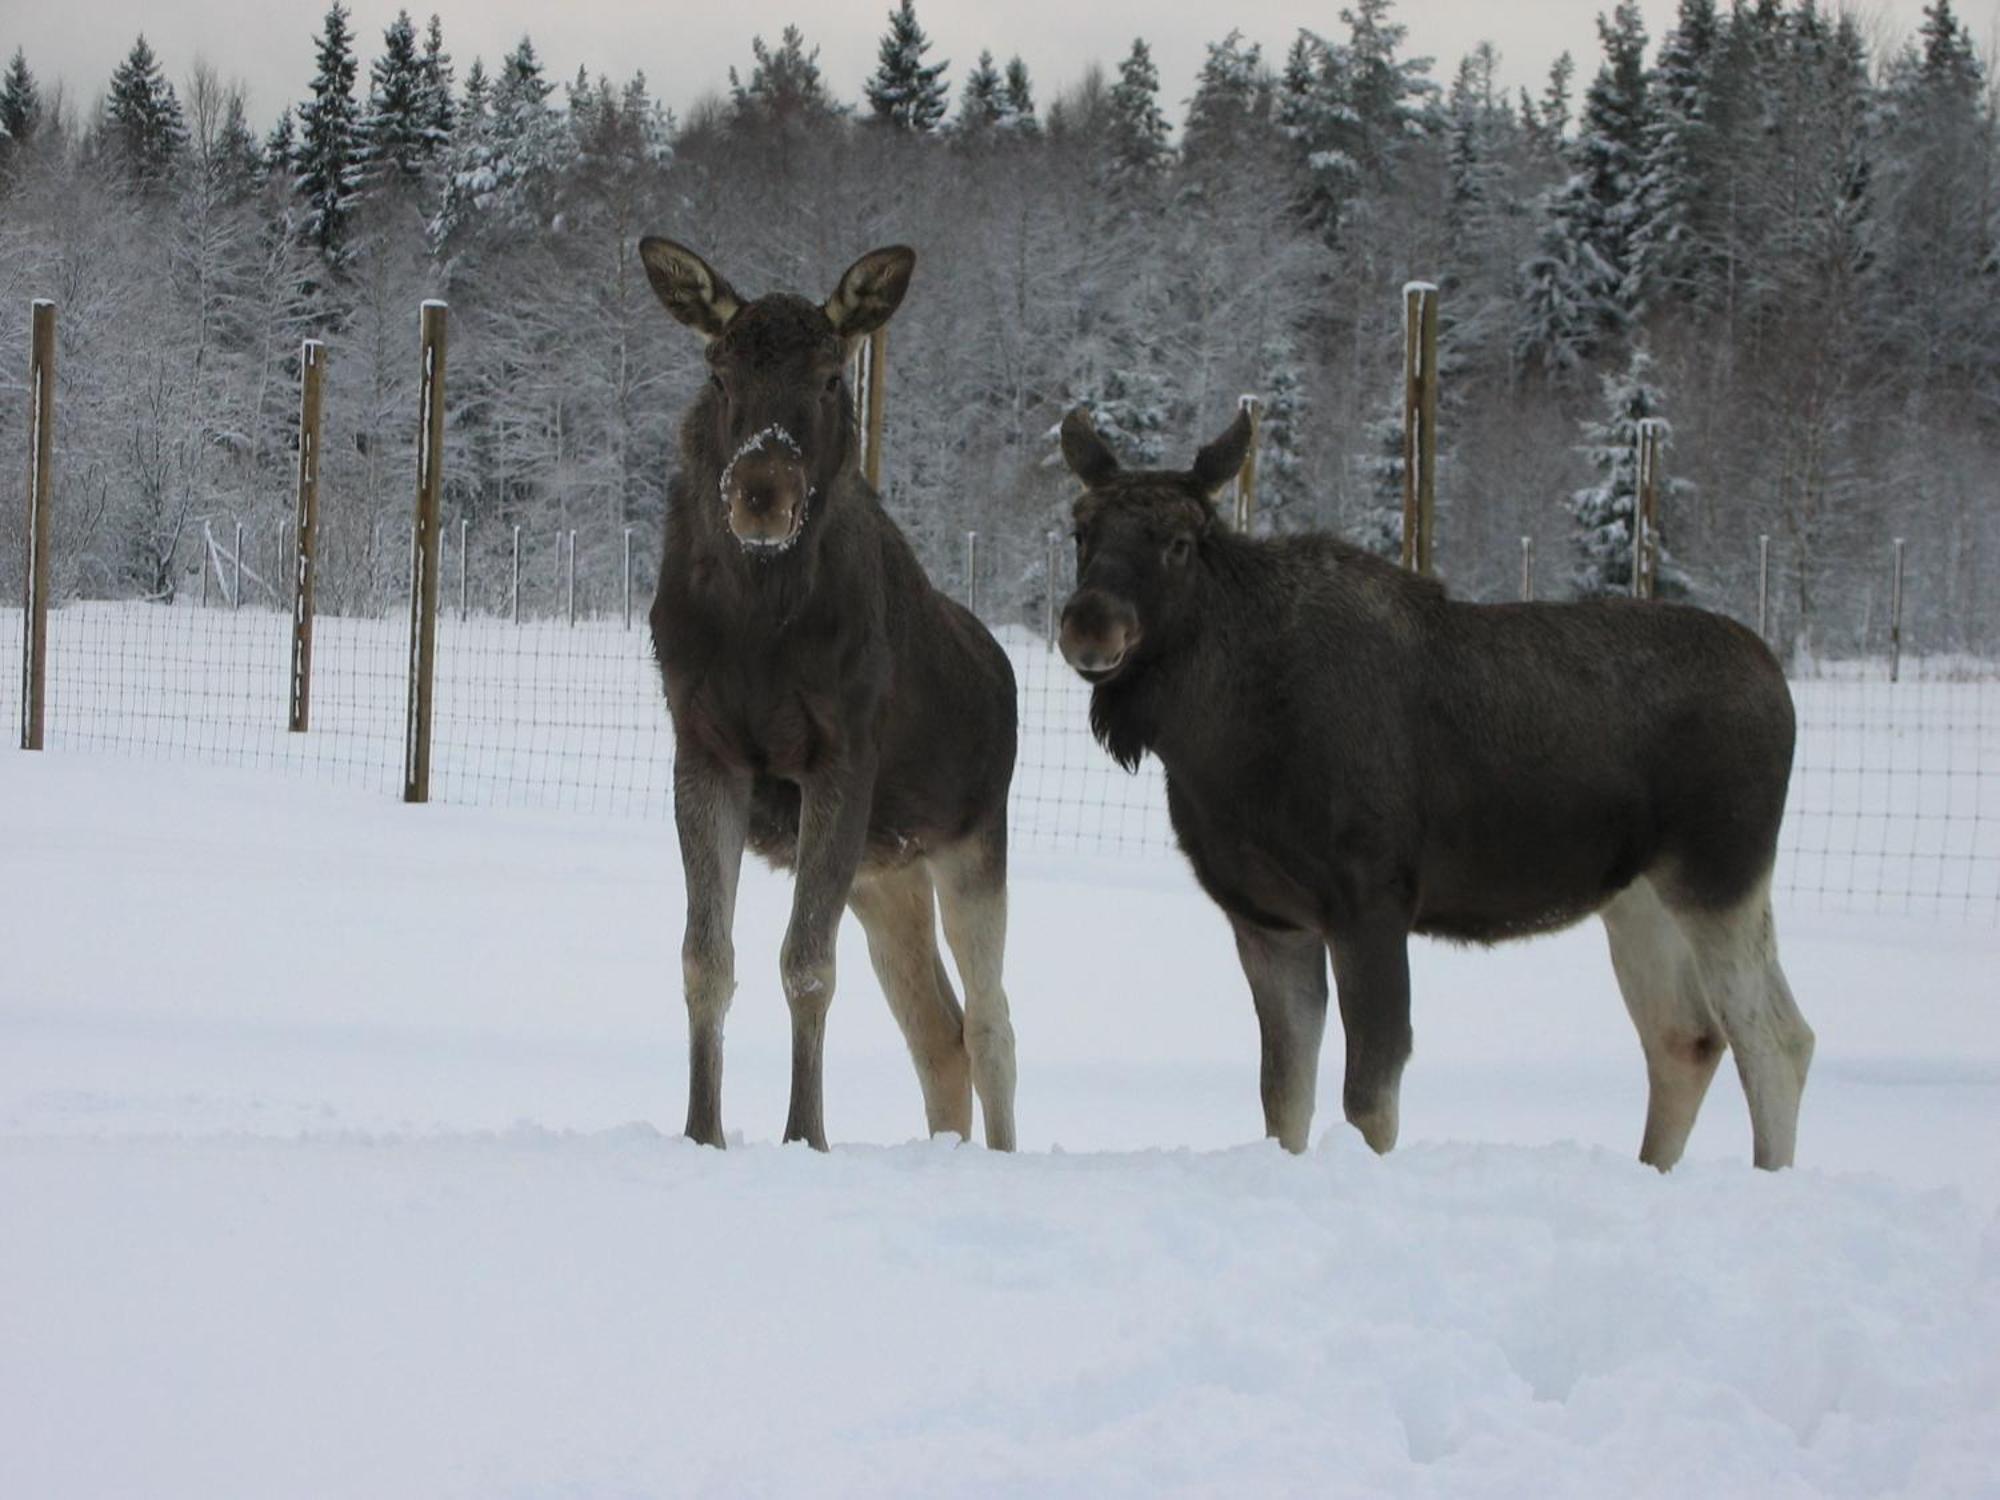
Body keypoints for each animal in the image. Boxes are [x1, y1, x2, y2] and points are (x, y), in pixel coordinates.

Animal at [640, 238, 1016, 1152]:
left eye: (832, 375)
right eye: (718, 371)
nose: (761, 492)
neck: (758, 626)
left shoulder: (842, 753)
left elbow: (806, 966)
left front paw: (804, 1136)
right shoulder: (703, 748)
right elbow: (706, 959)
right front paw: (701, 1132)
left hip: (975, 842)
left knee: (992, 1026)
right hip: (888, 876)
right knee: (939, 1034)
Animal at [1064, 408, 1816, 1176]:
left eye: (1180, 542)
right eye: (1080, 530)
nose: (1090, 622)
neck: (1220, 742)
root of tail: (1779, 686)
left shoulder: (1371, 899)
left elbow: (1369, 1101)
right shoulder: (1268, 920)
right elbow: (1283, 1101)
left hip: (1721, 875)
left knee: (1776, 1038)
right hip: (1638, 896)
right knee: (1684, 1037)